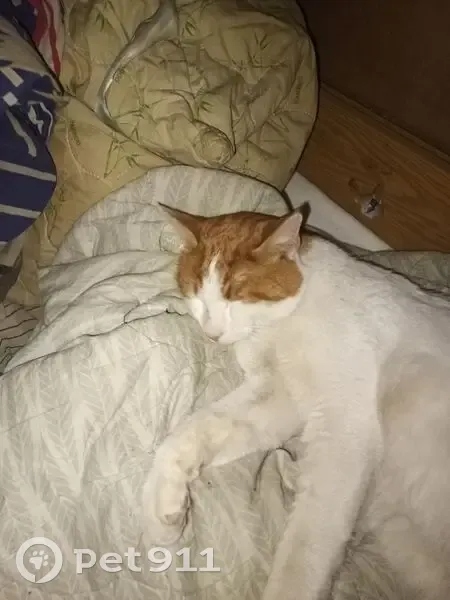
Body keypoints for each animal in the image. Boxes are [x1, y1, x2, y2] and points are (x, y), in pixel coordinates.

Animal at [141, 204, 450, 600]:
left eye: (236, 293)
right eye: (195, 291)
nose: (211, 334)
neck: (285, 322)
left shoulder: (344, 429)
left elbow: (307, 543)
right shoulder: (279, 397)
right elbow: (193, 432)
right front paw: (162, 506)